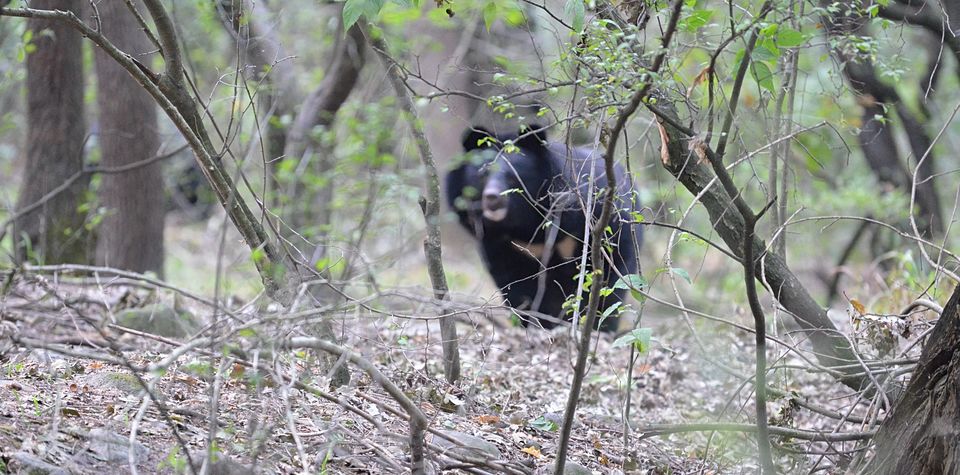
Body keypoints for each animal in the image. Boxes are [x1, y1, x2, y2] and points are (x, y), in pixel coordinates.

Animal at [446, 126, 640, 334]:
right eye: (482, 174)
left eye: (512, 176)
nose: (492, 198)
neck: (524, 225)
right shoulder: (501, 245)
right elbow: (516, 287)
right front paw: (536, 325)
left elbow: (605, 279)